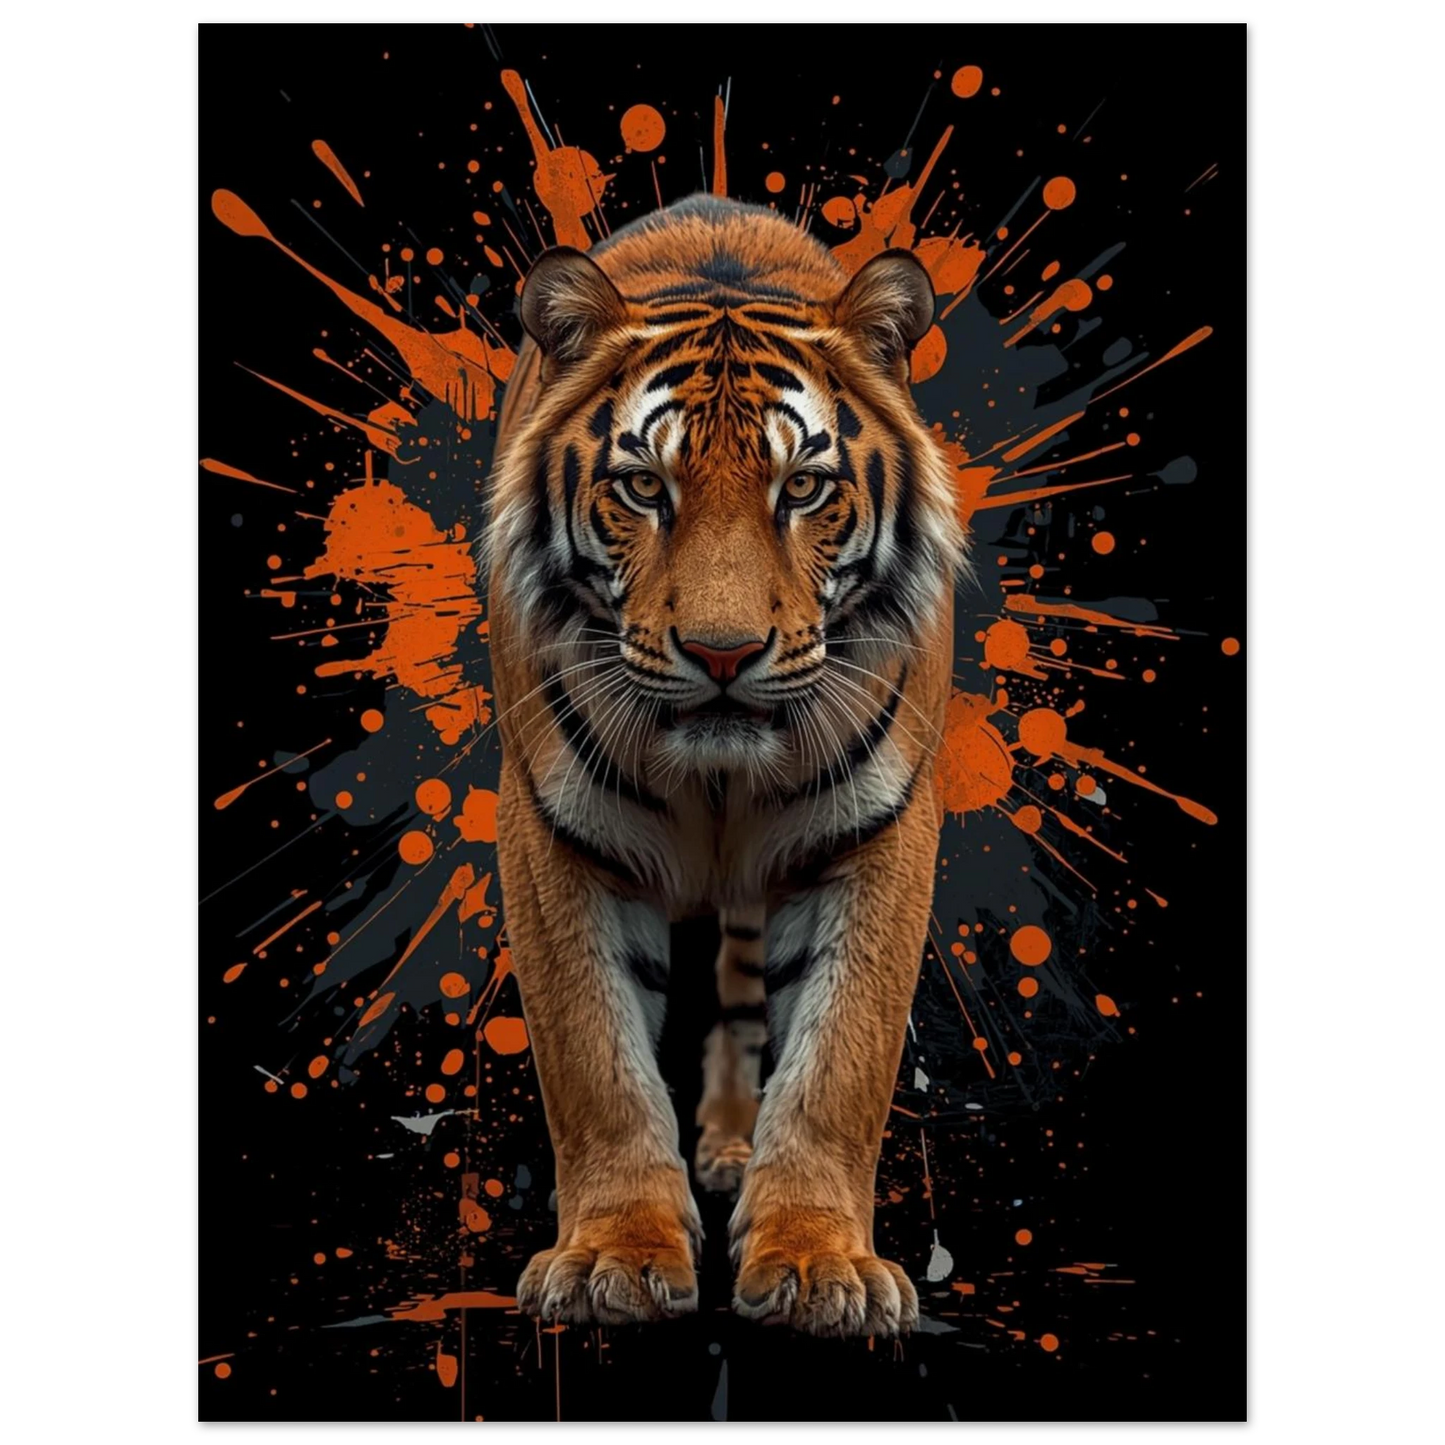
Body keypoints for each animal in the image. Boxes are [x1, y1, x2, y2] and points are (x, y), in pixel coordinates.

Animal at [483, 193, 969, 1338]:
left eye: (804, 488)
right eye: (639, 487)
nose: (720, 652)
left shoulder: (882, 826)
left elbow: (839, 1058)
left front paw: (818, 1263)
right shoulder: (548, 829)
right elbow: (594, 1055)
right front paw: (611, 1257)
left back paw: (739, 1151)